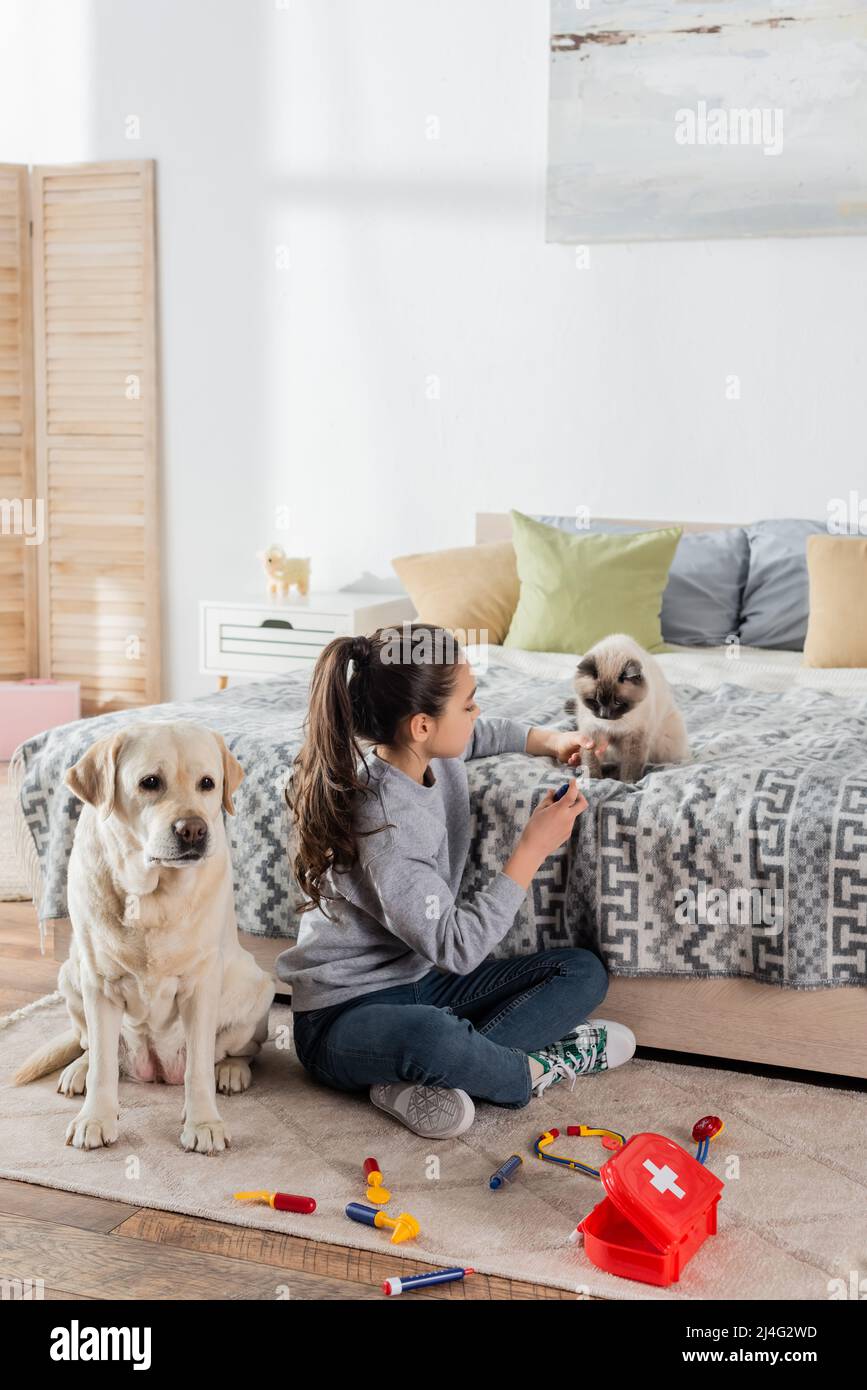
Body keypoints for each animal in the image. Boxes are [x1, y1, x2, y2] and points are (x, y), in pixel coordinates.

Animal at [15, 717, 276, 1150]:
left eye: (208, 783)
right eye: (150, 782)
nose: (193, 830)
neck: (153, 897)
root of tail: (157, 1068)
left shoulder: (201, 985)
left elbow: (198, 1069)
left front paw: (204, 1123)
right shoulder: (99, 983)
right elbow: (104, 1066)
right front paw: (95, 1119)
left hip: (255, 984)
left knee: (234, 1051)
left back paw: (231, 1071)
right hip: (71, 974)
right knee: (91, 1046)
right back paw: (78, 1070)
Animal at [561, 633, 691, 783]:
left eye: (617, 702)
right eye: (595, 700)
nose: (604, 715)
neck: (612, 725)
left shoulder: (635, 737)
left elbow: (630, 764)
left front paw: (628, 783)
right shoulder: (593, 732)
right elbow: (591, 760)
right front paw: (593, 779)